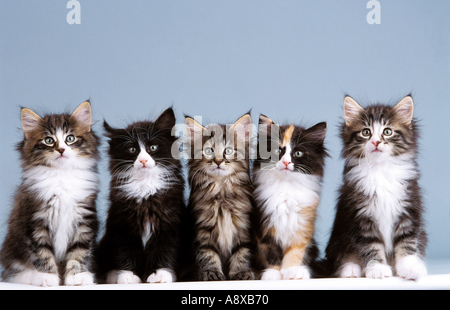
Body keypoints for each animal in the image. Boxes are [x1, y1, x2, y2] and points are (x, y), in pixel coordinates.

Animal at [0, 101, 100, 286]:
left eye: (70, 138)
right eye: (48, 140)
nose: (61, 150)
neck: (61, 177)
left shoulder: (83, 219)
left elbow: (79, 251)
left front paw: (78, 277)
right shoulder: (35, 220)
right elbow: (42, 253)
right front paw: (47, 277)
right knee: (10, 273)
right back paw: (29, 276)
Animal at [96, 107, 185, 284]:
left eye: (153, 148)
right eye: (132, 150)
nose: (143, 160)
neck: (145, 188)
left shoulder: (169, 223)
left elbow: (164, 250)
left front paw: (160, 274)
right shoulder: (122, 224)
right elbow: (126, 252)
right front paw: (127, 276)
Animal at [253, 115, 326, 280]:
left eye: (298, 153)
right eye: (277, 150)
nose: (286, 162)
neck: (286, 187)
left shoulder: (302, 225)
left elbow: (295, 251)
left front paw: (290, 271)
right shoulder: (263, 225)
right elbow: (270, 252)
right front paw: (273, 273)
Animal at [324, 95, 428, 280]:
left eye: (387, 131)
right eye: (366, 132)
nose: (376, 142)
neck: (380, 170)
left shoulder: (408, 207)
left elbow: (407, 242)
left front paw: (409, 267)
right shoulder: (361, 215)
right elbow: (370, 246)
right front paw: (377, 268)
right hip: (338, 239)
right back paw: (351, 269)